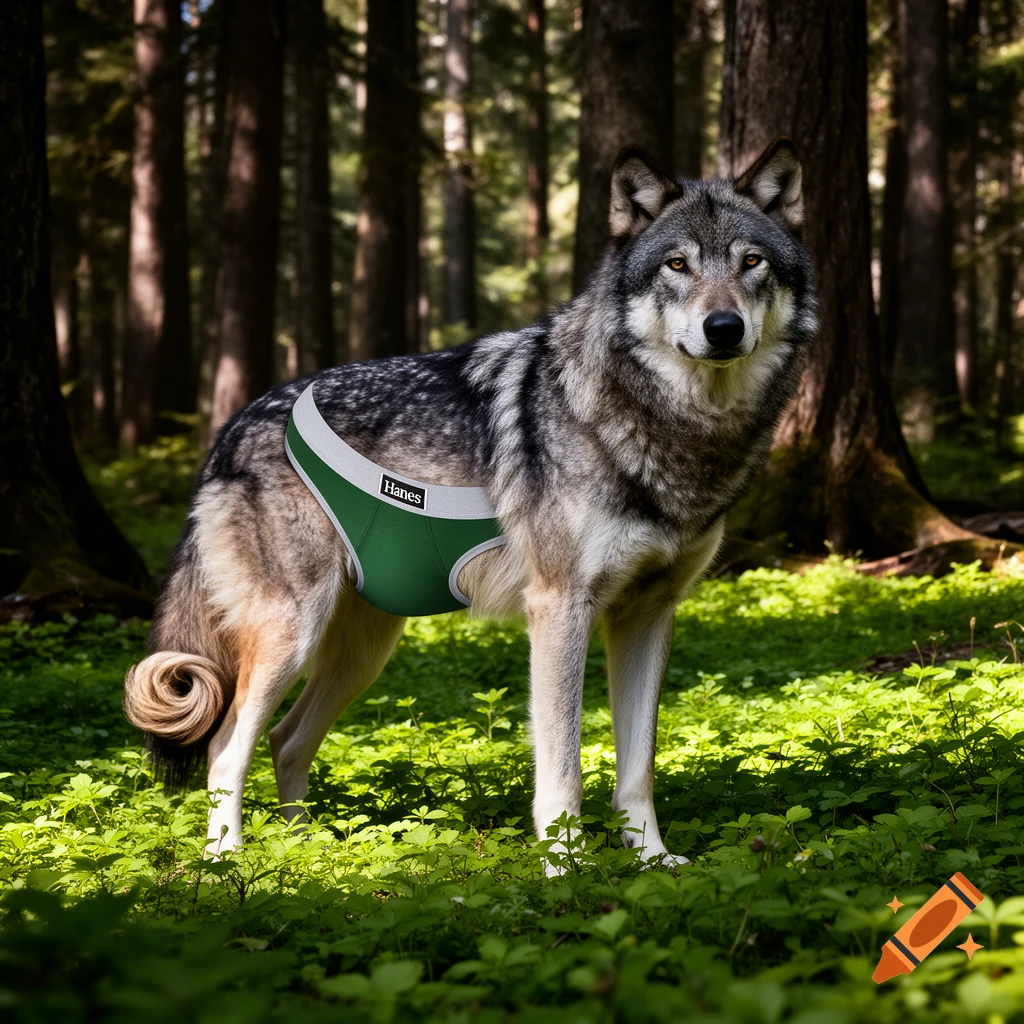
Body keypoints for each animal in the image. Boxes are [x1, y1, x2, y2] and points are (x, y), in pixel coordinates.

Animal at [124, 138, 817, 867]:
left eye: (751, 263)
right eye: (677, 264)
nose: (723, 328)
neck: (671, 432)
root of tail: (232, 426)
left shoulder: (647, 617)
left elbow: (638, 770)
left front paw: (652, 863)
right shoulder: (560, 610)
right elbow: (564, 770)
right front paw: (567, 871)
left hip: (363, 653)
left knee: (286, 742)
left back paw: (307, 851)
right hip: (293, 636)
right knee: (227, 747)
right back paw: (228, 863)